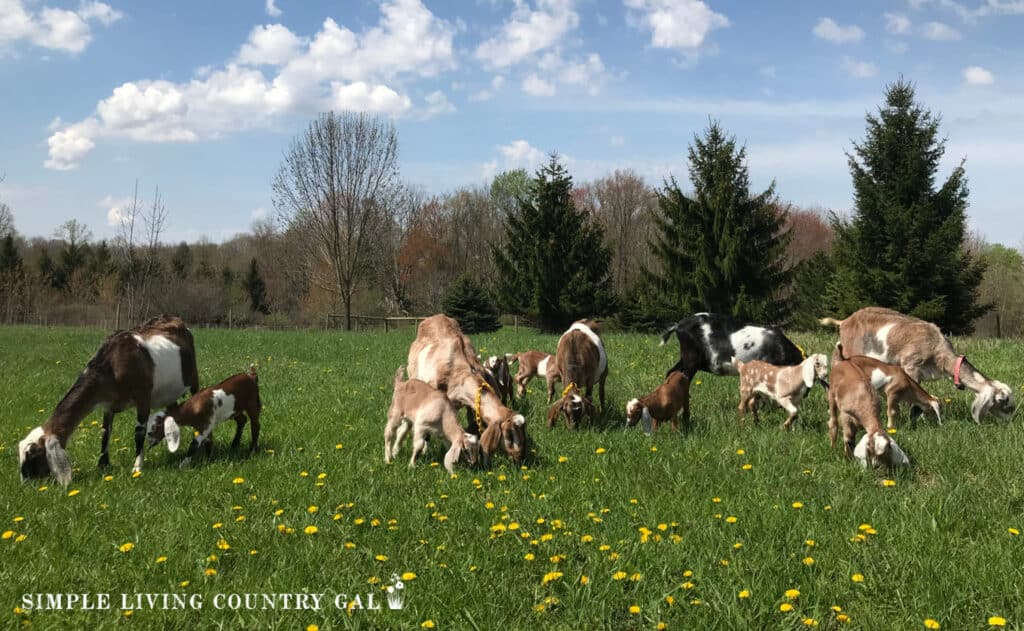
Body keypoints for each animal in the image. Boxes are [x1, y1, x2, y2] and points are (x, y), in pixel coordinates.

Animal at [17, 313, 197, 485]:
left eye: (34, 455)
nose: (26, 483)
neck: (112, 363)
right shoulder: (108, 403)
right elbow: (105, 431)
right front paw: (102, 465)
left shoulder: (143, 397)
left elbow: (139, 432)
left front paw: (137, 466)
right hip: (171, 392)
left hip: (193, 377)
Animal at [819, 307, 1011, 424]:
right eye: (1003, 400)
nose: (1011, 420)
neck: (938, 349)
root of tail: (844, 322)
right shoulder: (911, 366)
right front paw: (910, 419)